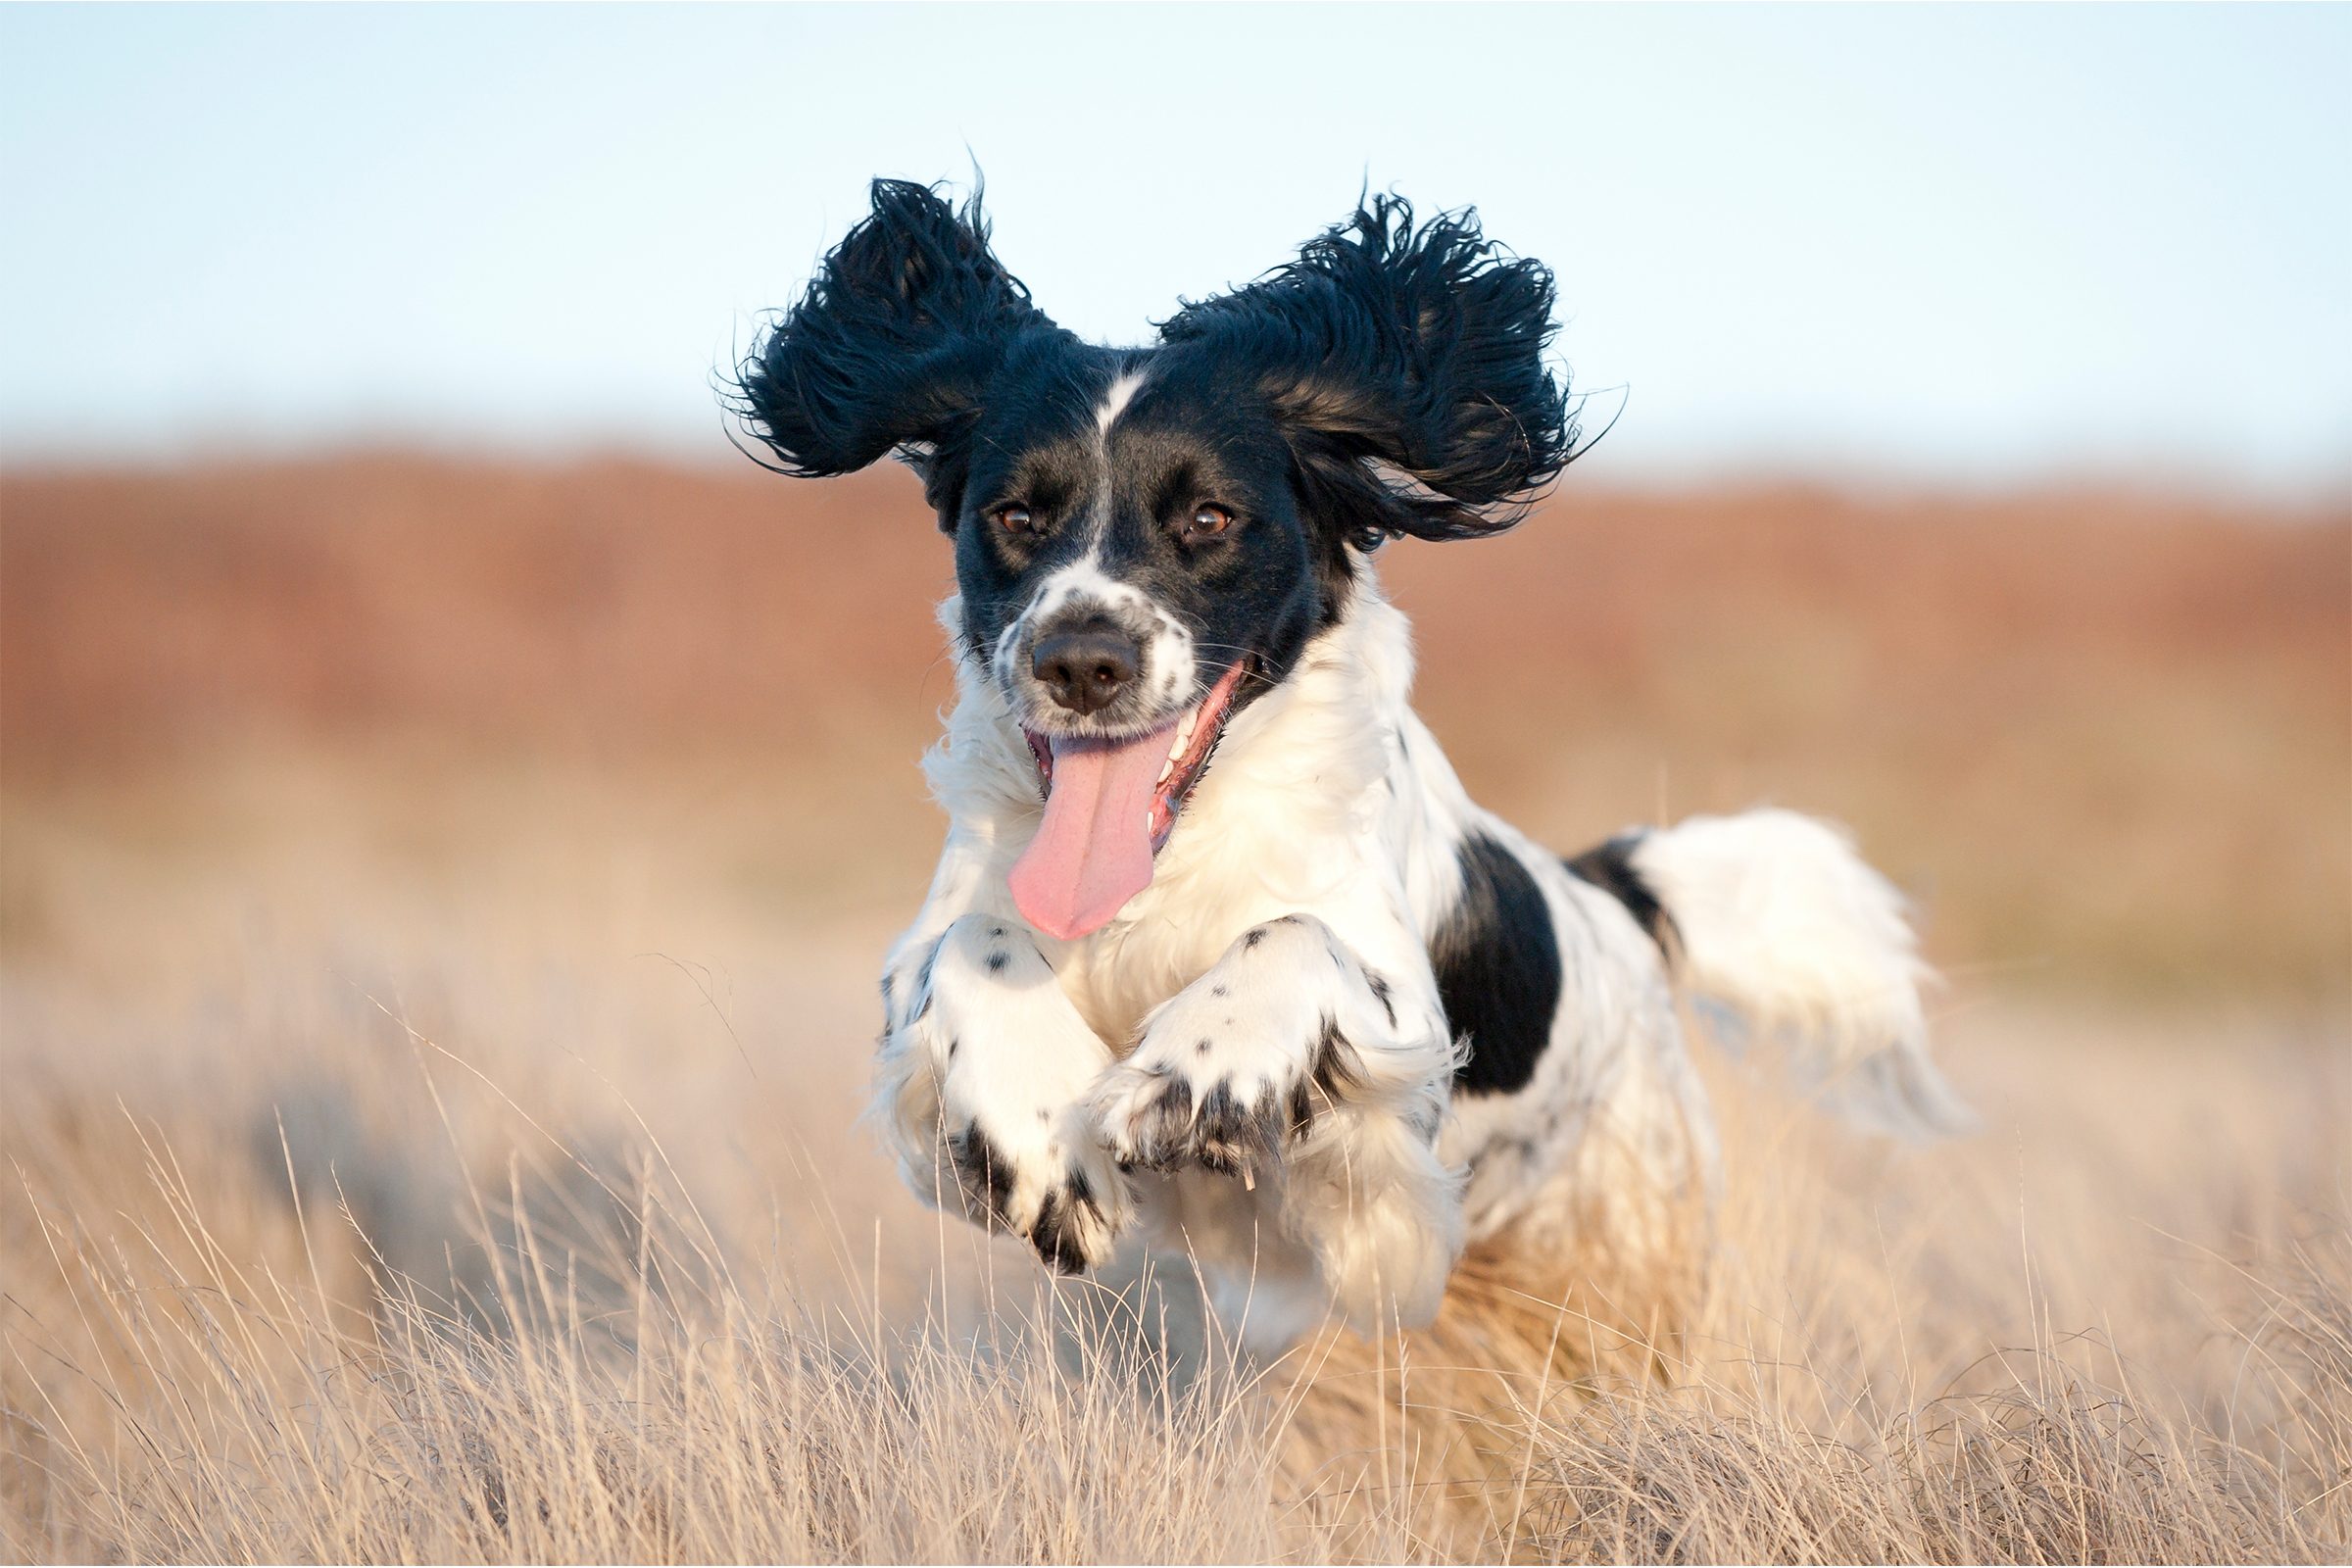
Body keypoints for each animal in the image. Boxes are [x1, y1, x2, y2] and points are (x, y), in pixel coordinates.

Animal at [738, 177, 1966, 1353]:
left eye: (1209, 517)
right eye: (1016, 513)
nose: (1081, 658)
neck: (1162, 868)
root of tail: (1609, 895)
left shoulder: (1395, 1068)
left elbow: (1298, 937)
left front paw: (1192, 1072)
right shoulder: (929, 964)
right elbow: (971, 944)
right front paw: (1043, 1141)